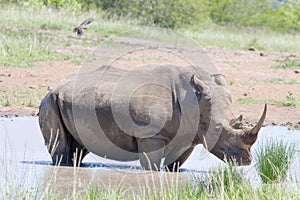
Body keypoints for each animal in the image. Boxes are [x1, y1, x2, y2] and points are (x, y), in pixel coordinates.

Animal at [38, 65, 266, 171]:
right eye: (218, 130)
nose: (247, 160)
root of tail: (55, 86)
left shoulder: (189, 136)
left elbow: (174, 165)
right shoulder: (150, 134)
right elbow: (152, 165)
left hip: (71, 101)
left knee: (79, 147)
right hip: (50, 101)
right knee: (61, 147)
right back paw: (64, 166)